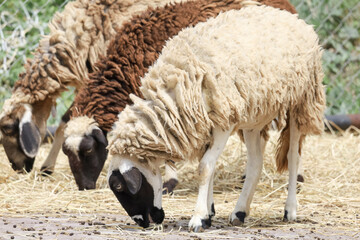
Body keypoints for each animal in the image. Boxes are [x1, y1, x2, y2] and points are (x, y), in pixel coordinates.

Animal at [62, 0, 298, 191]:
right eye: (67, 154)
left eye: (89, 151)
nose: (84, 187)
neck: (125, 66)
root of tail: (288, 8)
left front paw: (169, 182)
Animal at [105, 4, 324, 231]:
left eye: (118, 186)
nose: (143, 223)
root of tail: (292, 17)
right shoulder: (205, 124)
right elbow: (208, 166)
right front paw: (208, 212)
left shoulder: (223, 121)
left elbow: (204, 168)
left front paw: (198, 218)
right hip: (254, 115)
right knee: (256, 164)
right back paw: (239, 212)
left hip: (301, 101)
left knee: (293, 157)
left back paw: (290, 210)